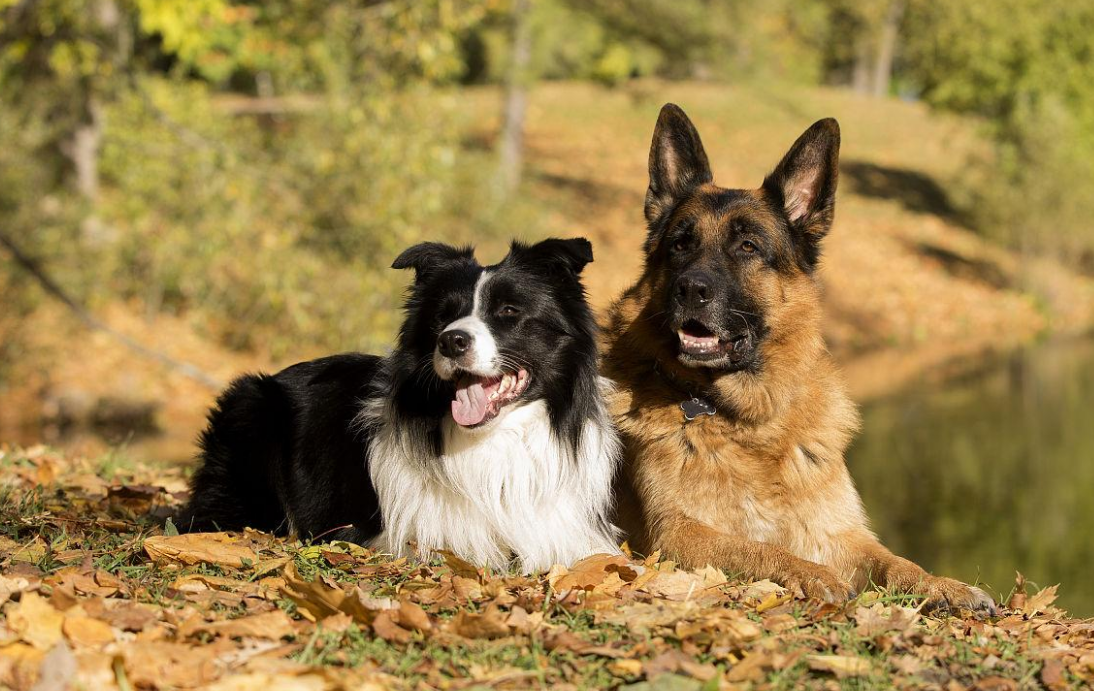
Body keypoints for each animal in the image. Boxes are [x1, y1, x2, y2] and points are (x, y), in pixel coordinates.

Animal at [183, 237, 621, 572]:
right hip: (251, 406)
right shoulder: (392, 534)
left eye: (509, 312)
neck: (494, 438)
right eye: (443, 317)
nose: (451, 341)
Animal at [608, 102, 1002, 607]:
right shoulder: (676, 535)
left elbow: (896, 562)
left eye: (748, 246)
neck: (749, 422)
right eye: (680, 244)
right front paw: (810, 573)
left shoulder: (842, 533)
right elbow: (757, 548)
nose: (690, 289)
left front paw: (944, 586)